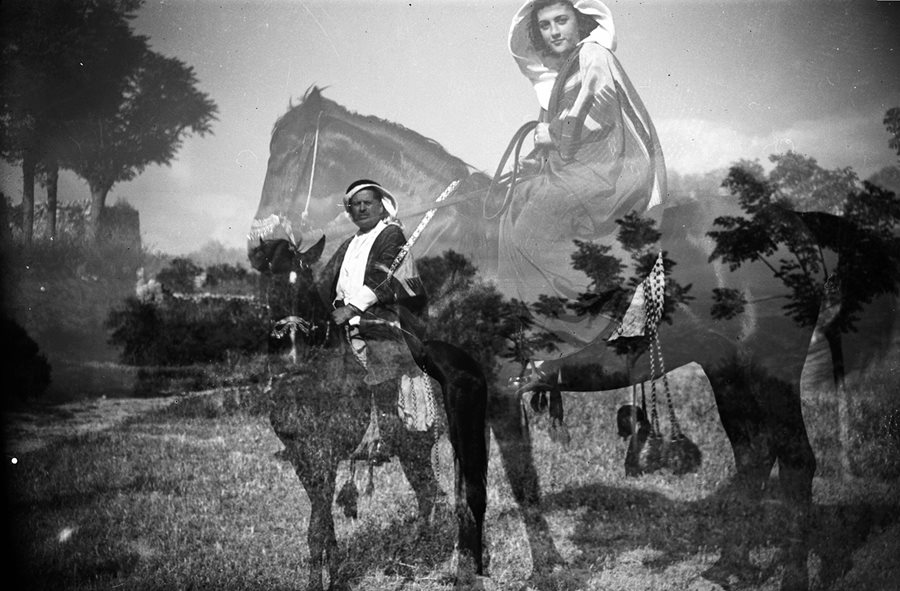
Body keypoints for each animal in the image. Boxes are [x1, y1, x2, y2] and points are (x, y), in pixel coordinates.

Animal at [256, 234, 488, 588]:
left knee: (465, 497)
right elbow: (324, 523)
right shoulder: (301, 457)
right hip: (413, 450)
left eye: (306, 286)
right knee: (429, 496)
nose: (293, 352)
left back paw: (462, 567)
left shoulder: (323, 453)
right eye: (272, 285)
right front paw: (335, 575)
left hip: (463, 437)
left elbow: (317, 526)